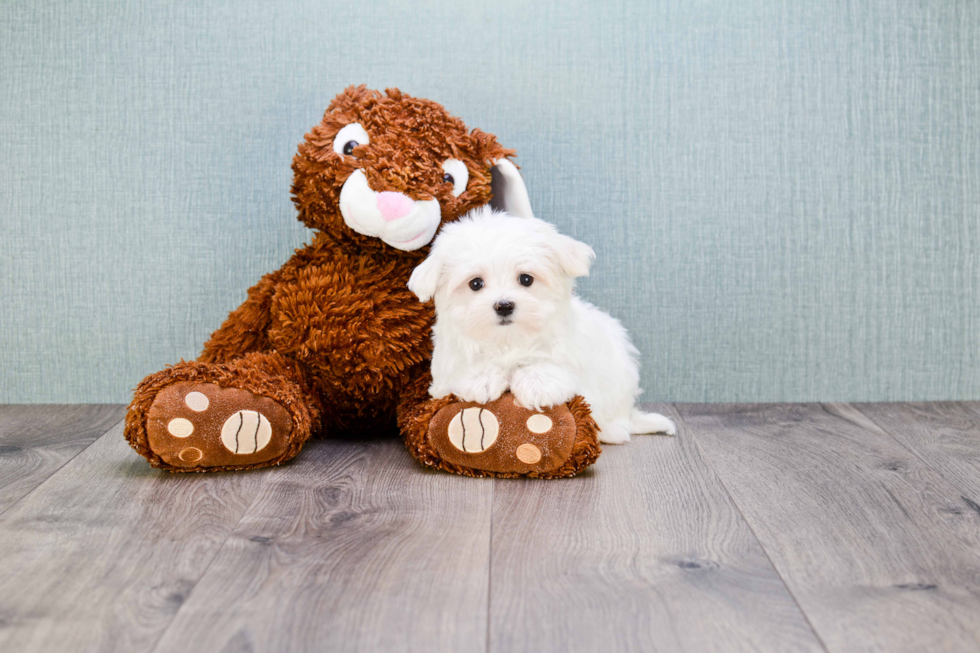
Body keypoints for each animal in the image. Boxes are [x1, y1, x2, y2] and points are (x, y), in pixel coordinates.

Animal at [406, 208, 672, 444]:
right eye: (475, 283)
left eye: (526, 279)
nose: (504, 305)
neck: (508, 341)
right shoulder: (446, 369)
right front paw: (480, 379)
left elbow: (550, 363)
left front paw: (537, 383)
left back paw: (612, 431)